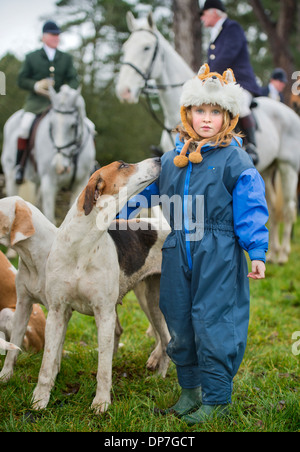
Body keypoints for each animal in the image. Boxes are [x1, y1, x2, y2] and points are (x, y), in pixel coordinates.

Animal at [0, 85, 95, 224]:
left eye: (73, 125)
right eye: (51, 124)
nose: (58, 165)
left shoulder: (80, 184)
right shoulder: (49, 183)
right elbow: (50, 218)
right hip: (12, 176)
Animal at [116, 11, 300, 264]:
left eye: (146, 47)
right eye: (125, 47)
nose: (124, 92)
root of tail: (289, 111)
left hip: (287, 167)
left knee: (289, 209)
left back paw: (282, 255)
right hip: (268, 169)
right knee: (272, 208)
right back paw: (271, 254)